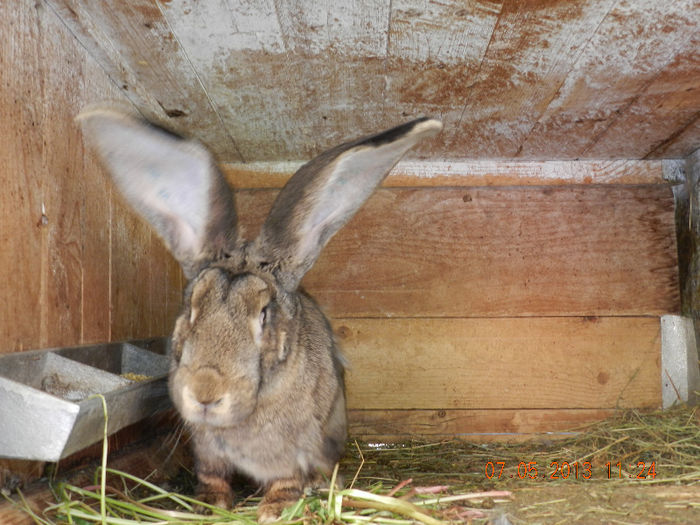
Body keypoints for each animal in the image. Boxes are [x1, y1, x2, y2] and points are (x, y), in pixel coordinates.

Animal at [76, 108, 442, 520]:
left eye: (264, 313)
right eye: (192, 306)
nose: (205, 393)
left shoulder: (294, 450)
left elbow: (286, 480)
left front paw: (274, 510)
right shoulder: (208, 452)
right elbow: (213, 477)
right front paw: (209, 506)